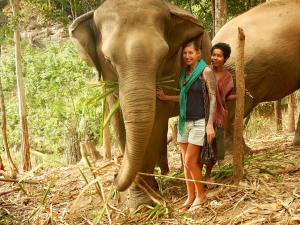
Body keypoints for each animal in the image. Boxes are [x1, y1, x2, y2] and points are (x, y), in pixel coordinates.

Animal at [69, 0, 211, 207]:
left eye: (163, 56)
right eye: (108, 59)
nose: (114, 176)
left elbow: (155, 121)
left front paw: (142, 202)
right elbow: (119, 122)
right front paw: (142, 194)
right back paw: (164, 173)